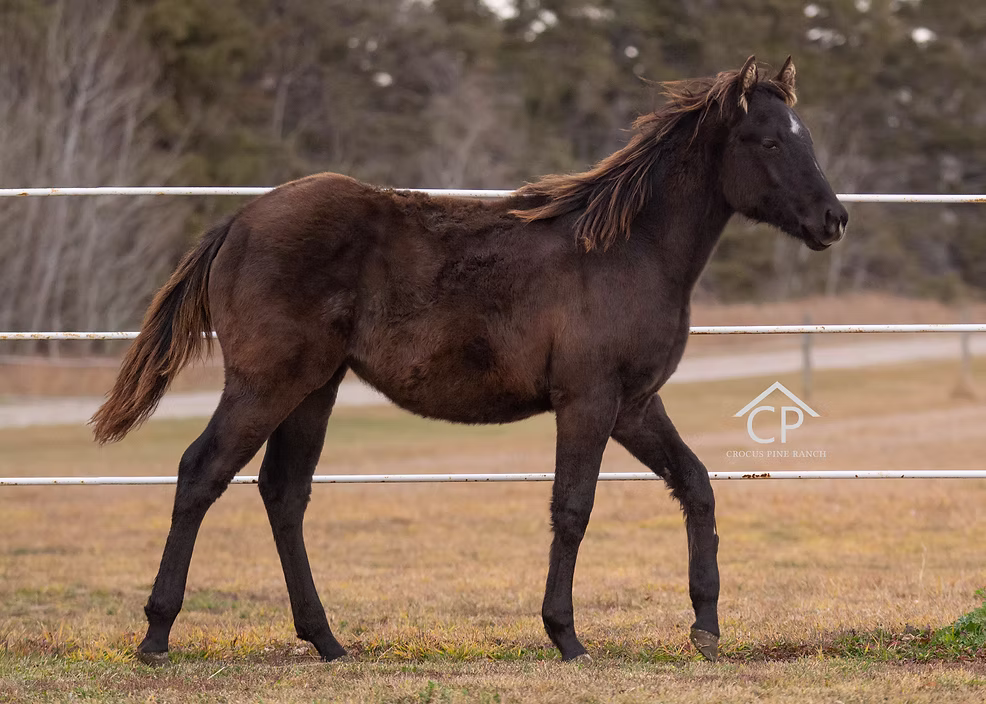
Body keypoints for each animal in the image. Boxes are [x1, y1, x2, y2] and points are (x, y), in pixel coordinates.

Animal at [92, 56, 848, 665]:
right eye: (769, 139)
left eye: (807, 136)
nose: (833, 219)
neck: (628, 251)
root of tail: (236, 223)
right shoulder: (589, 400)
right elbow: (573, 507)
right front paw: (566, 637)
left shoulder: (636, 405)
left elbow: (696, 485)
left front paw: (706, 629)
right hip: (265, 384)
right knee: (201, 473)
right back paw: (157, 636)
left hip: (313, 390)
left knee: (283, 493)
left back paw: (328, 641)